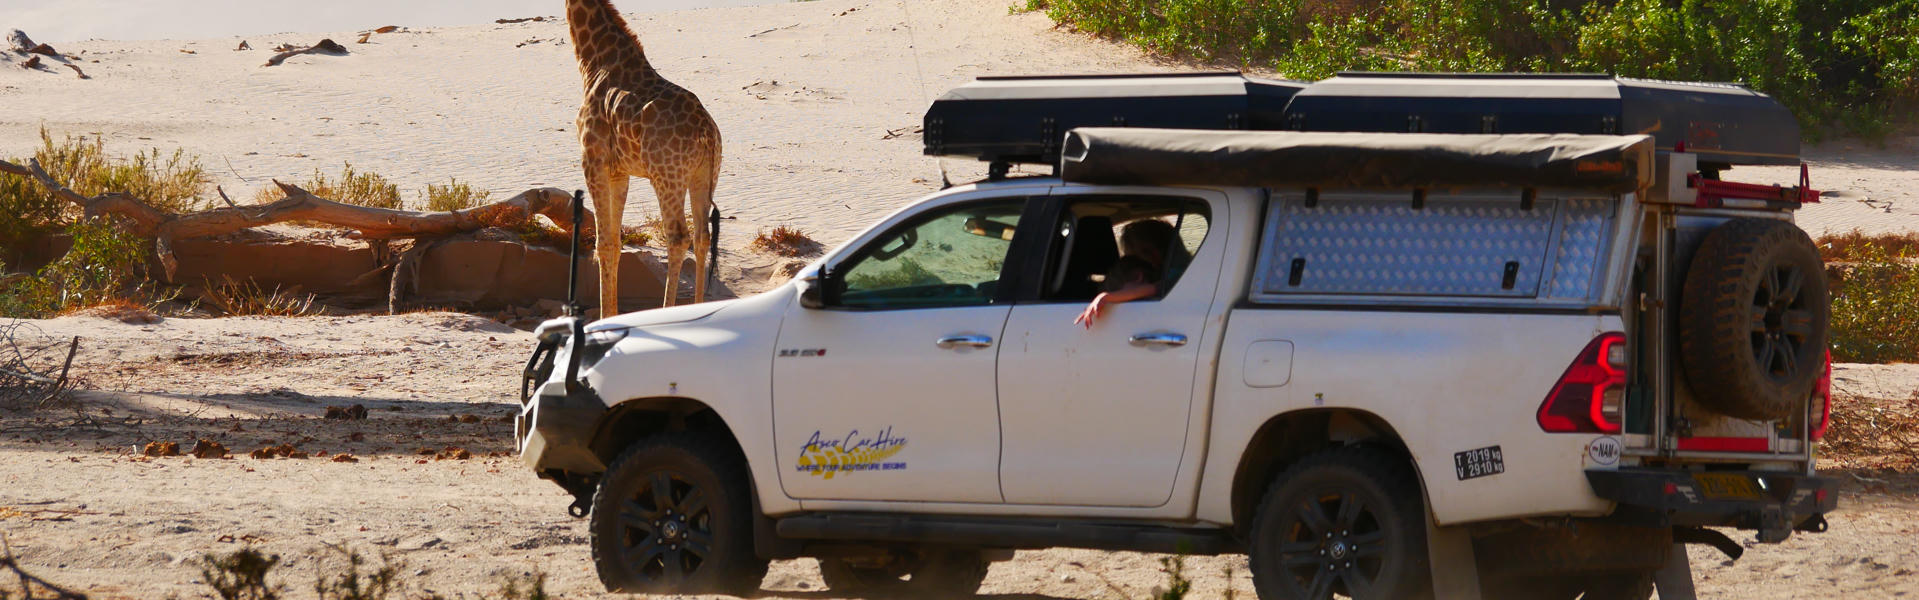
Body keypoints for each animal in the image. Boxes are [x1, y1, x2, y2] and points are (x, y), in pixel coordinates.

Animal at [566, 0, 721, 313]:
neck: (593, 63)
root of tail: (707, 133)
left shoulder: (592, 160)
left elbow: (604, 243)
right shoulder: (619, 171)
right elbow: (615, 242)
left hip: (667, 177)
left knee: (678, 236)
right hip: (704, 175)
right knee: (702, 236)